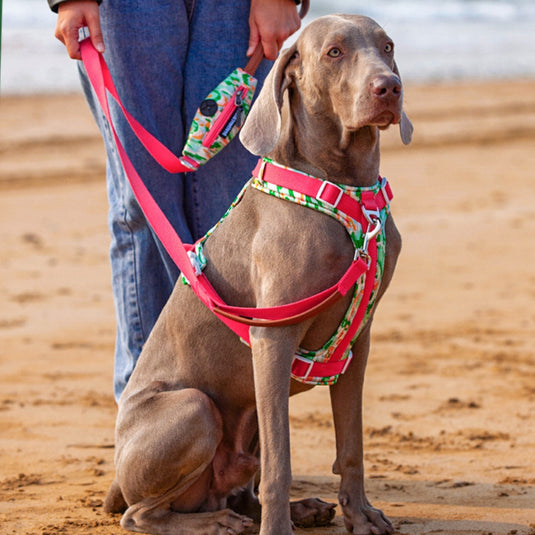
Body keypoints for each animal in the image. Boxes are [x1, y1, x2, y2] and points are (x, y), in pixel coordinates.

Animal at [103, 13, 414, 535]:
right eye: (334, 52)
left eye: (387, 46)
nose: (389, 88)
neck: (346, 187)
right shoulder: (273, 339)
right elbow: (280, 463)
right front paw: (279, 527)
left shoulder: (358, 343)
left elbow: (351, 446)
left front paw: (360, 514)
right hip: (194, 408)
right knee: (140, 514)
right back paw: (215, 522)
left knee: (239, 486)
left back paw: (298, 509)